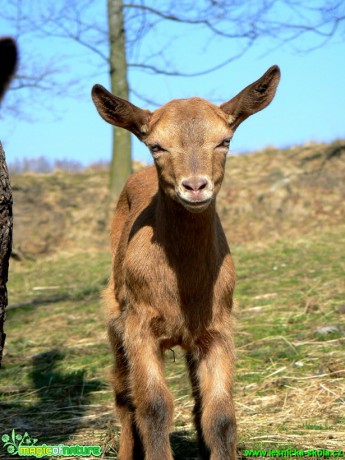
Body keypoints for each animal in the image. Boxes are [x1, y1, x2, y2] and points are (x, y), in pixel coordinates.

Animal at [91, 66, 280, 460]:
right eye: (156, 146)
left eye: (224, 141)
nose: (194, 186)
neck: (183, 285)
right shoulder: (139, 325)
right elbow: (153, 406)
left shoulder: (218, 327)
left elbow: (220, 414)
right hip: (114, 315)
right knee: (122, 394)